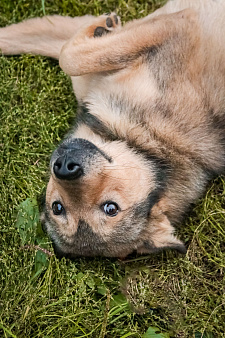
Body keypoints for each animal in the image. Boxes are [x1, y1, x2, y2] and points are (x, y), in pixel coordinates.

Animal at [0, 0, 224, 258]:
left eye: (110, 208)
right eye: (58, 208)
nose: (65, 167)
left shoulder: (180, 26)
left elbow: (69, 56)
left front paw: (101, 28)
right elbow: (45, 45)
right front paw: (102, 26)